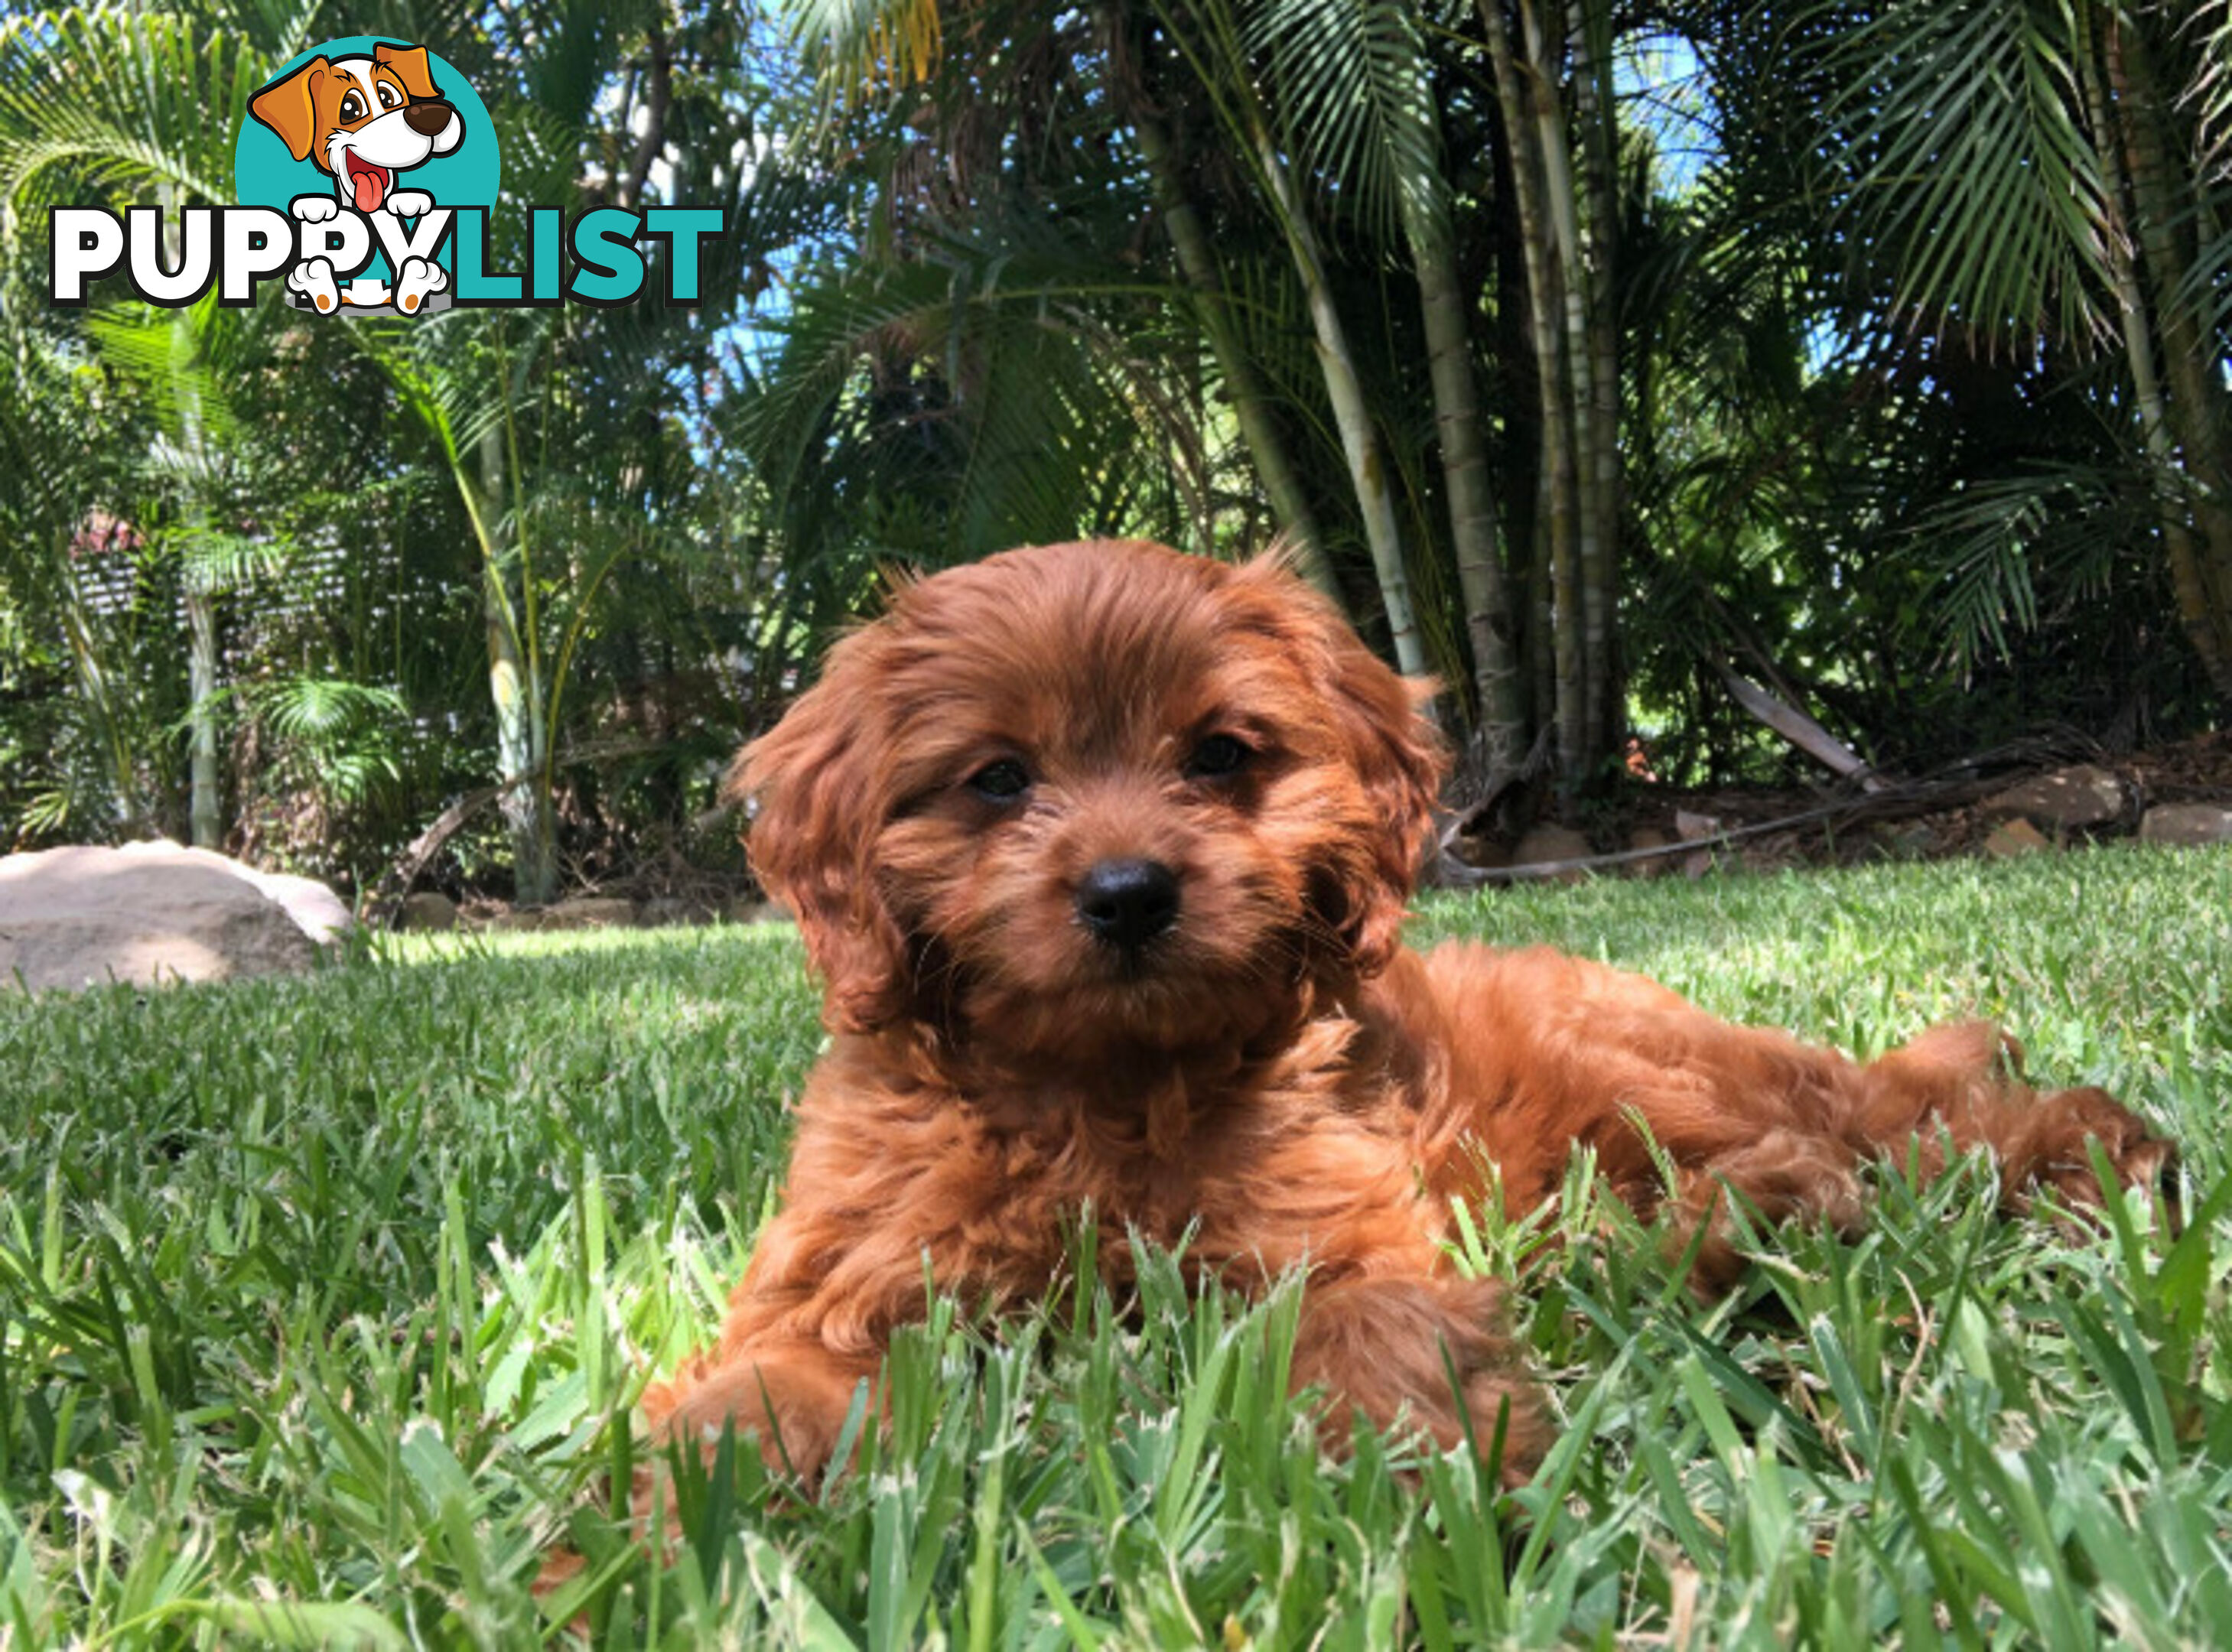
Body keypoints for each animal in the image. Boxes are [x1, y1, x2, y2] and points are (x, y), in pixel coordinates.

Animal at [652, 535, 2178, 1473]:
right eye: (996, 780)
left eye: (1221, 755)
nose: (1130, 893)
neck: (1103, 1087)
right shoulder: (842, 1280)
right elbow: (757, 1391)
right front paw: (658, 1524)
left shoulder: (1345, 1237)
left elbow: (1371, 1331)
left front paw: (1395, 1496)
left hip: (1635, 1070)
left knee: (1912, 1129)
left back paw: (2075, 1153)